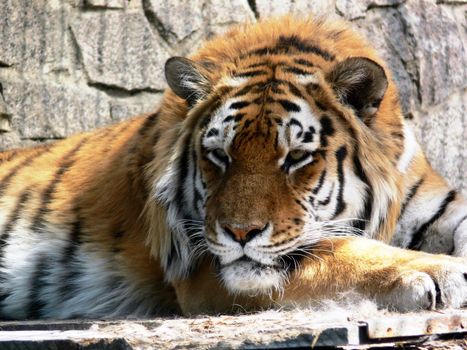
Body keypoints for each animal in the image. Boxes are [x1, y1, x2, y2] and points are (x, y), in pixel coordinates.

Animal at [0, 15, 464, 320]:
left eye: (296, 157)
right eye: (220, 155)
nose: (240, 233)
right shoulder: (201, 268)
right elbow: (336, 254)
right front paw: (436, 270)